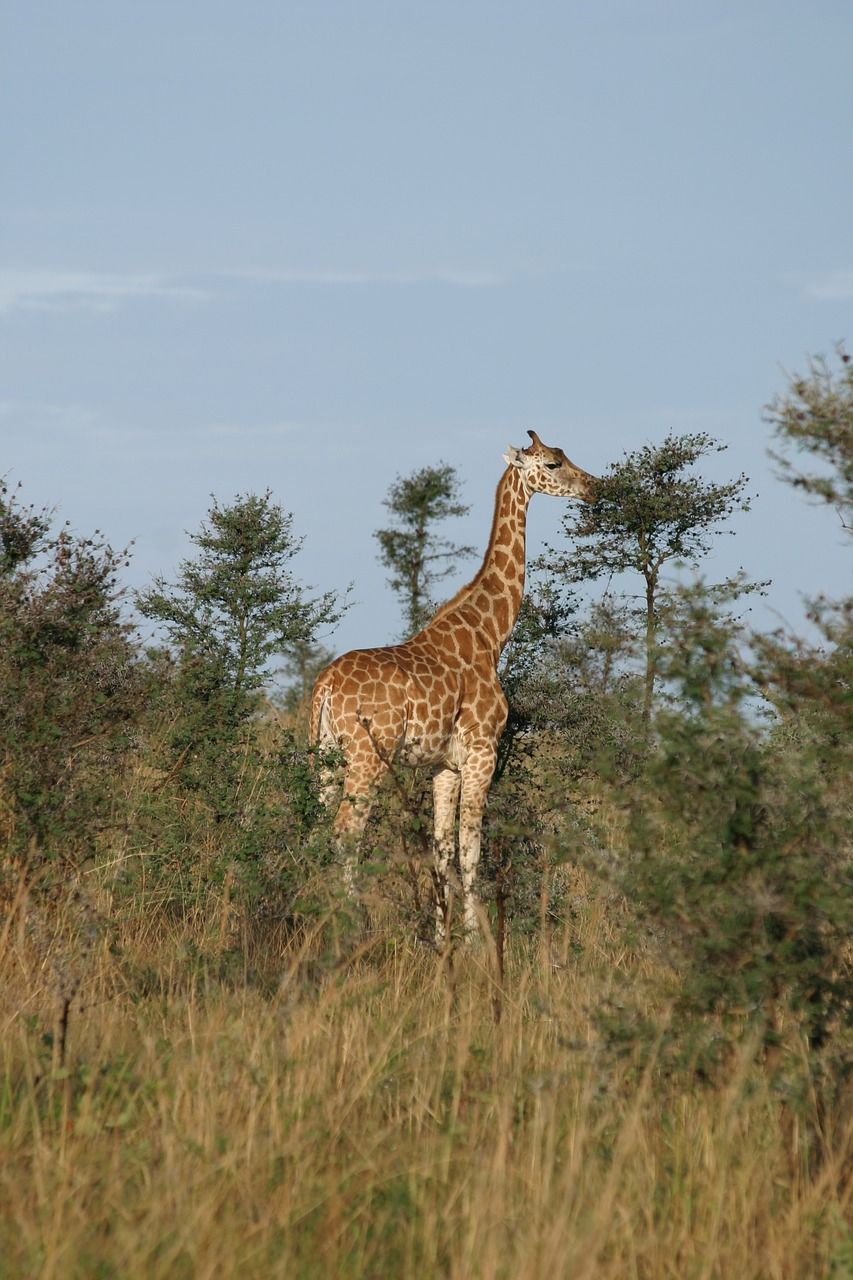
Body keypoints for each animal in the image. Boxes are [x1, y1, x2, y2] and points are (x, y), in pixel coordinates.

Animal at [308, 430, 594, 942]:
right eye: (553, 463)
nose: (593, 487)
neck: (490, 635)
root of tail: (325, 684)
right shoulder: (482, 752)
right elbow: (470, 849)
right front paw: (478, 942)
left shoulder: (445, 766)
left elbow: (441, 850)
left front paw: (443, 942)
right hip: (366, 756)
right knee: (346, 833)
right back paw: (351, 929)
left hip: (324, 753)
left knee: (317, 830)